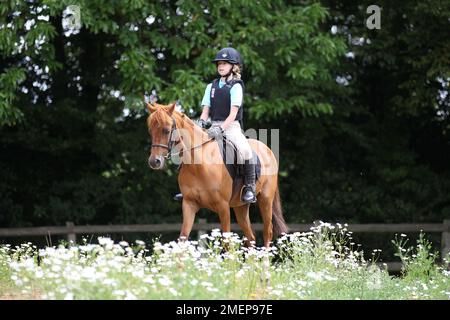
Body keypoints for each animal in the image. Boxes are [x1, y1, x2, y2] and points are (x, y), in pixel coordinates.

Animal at [148, 101, 288, 246]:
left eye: (166, 130)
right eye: (150, 130)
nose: (154, 161)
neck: (198, 165)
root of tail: (267, 150)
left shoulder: (223, 206)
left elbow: (226, 241)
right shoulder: (189, 204)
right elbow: (183, 238)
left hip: (265, 199)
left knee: (267, 232)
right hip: (240, 206)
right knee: (251, 237)